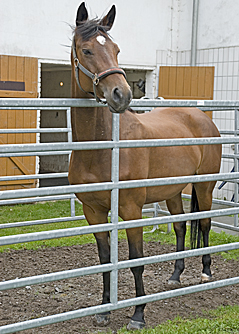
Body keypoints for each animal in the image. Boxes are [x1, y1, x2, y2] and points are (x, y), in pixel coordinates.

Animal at [67, 2, 222, 330]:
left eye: (116, 49)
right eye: (86, 50)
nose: (121, 94)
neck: (102, 150)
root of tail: (202, 118)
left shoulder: (131, 210)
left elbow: (136, 262)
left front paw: (138, 315)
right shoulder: (94, 212)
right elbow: (105, 261)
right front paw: (103, 311)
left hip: (204, 185)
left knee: (204, 223)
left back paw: (206, 273)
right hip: (173, 191)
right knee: (179, 226)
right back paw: (175, 275)